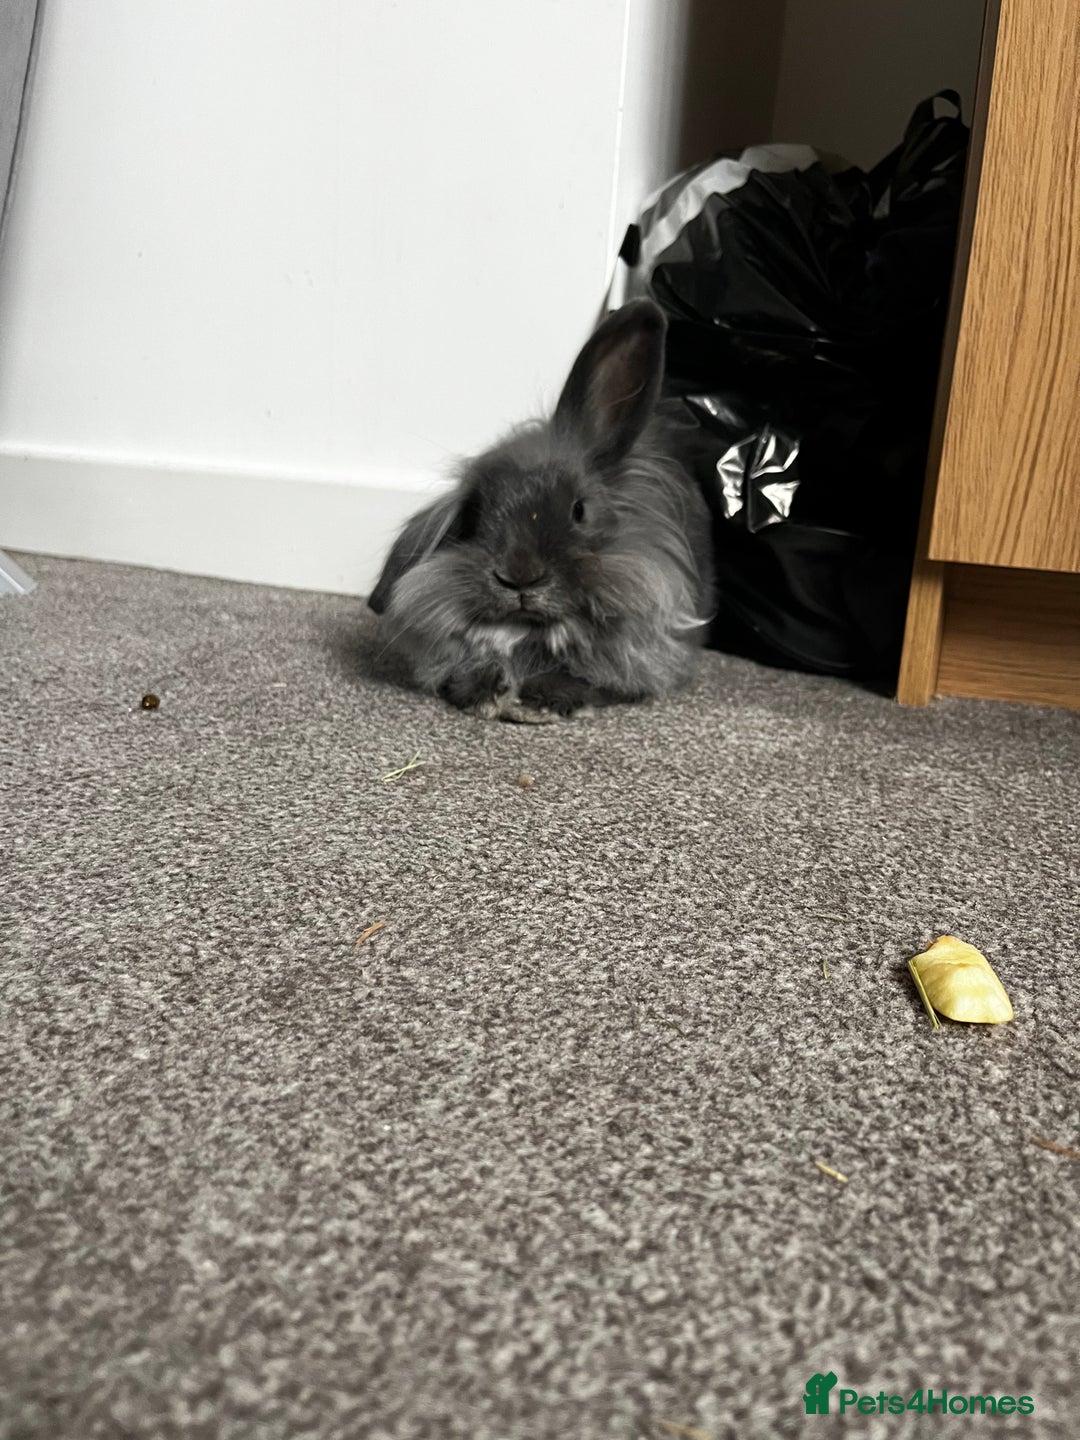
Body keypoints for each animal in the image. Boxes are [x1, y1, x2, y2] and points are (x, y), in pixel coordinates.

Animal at [368, 299, 715, 722]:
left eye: (579, 510)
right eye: (473, 515)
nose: (519, 577)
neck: (528, 633)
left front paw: (545, 701)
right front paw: (484, 694)